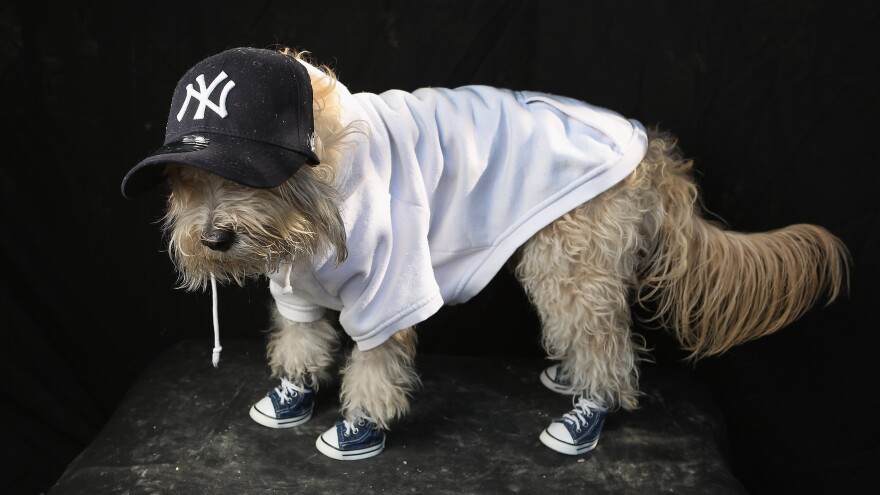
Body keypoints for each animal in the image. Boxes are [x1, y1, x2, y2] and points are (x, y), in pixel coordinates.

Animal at [120, 46, 848, 462]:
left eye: (247, 179)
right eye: (185, 181)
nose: (214, 240)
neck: (323, 182)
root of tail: (650, 147)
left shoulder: (392, 288)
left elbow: (375, 362)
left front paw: (359, 426)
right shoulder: (295, 285)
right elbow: (300, 338)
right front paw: (292, 393)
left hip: (570, 259)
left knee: (604, 338)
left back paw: (587, 411)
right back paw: (571, 377)